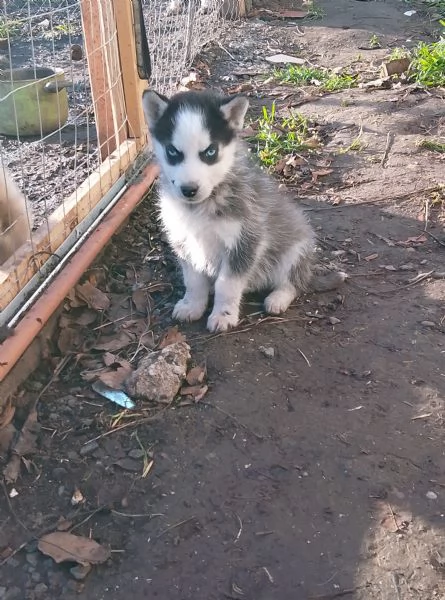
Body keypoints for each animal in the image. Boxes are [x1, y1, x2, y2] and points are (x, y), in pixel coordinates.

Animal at [144, 89, 346, 332]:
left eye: (210, 152)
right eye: (173, 151)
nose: (189, 190)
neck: (202, 207)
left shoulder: (245, 240)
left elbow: (227, 284)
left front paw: (223, 314)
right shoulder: (184, 240)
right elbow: (193, 280)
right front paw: (192, 304)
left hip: (295, 250)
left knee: (293, 283)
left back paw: (278, 298)